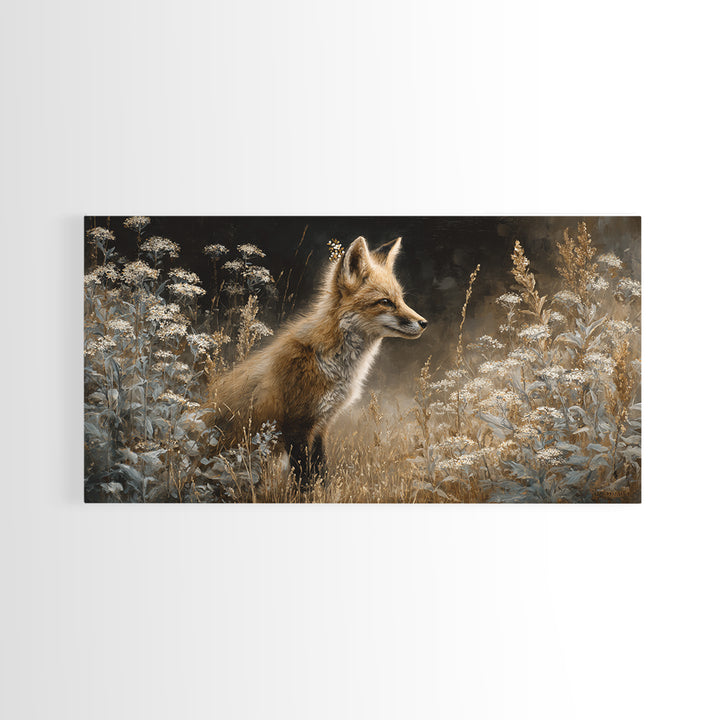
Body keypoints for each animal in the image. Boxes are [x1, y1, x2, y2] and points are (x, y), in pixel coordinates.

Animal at [210, 235, 428, 488]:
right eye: (385, 301)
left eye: (401, 300)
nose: (424, 323)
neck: (330, 362)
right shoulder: (296, 425)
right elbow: (304, 479)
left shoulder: (321, 424)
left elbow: (320, 472)